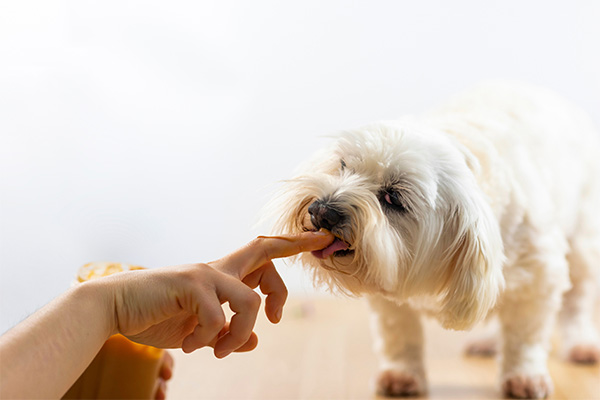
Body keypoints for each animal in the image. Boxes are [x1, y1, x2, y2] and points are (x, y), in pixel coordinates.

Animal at [272, 82, 600, 400]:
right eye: (343, 166)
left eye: (393, 197)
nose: (322, 211)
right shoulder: (387, 284)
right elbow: (399, 333)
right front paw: (401, 373)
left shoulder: (539, 278)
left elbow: (524, 335)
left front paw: (523, 375)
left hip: (582, 246)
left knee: (576, 301)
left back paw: (580, 343)